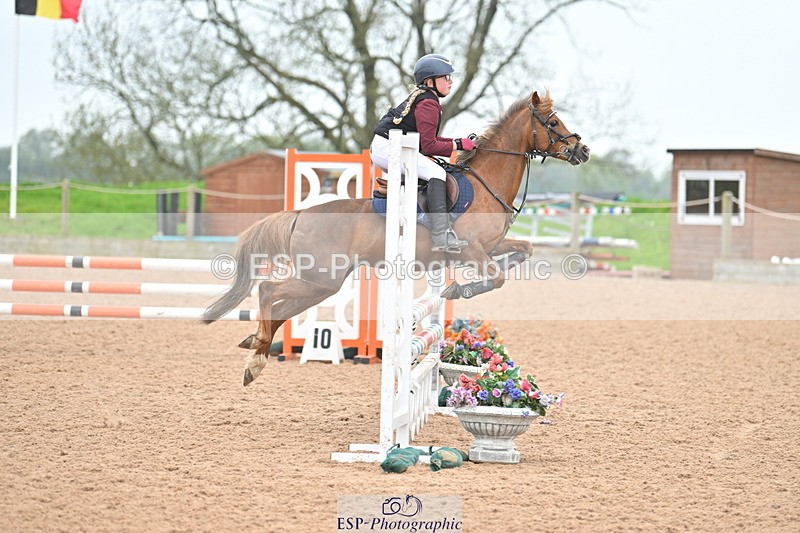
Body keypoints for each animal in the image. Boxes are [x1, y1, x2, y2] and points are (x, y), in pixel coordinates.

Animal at [202, 90, 590, 385]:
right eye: (553, 123)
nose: (582, 151)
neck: (485, 185)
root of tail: (301, 214)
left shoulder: (492, 246)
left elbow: (523, 251)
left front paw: (456, 288)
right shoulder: (471, 250)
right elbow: (496, 278)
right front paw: (459, 289)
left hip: (321, 283)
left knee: (281, 309)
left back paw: (255, 349)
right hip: (321, 277)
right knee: (268, 290)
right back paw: (256, 354)